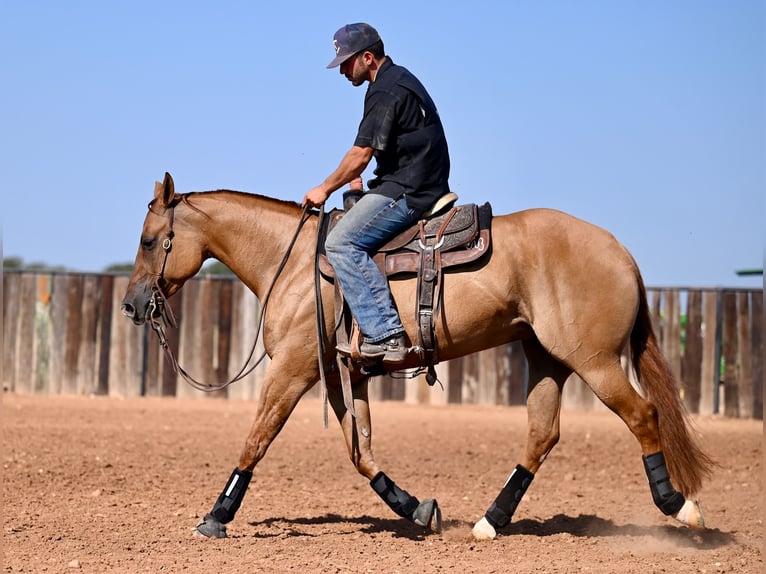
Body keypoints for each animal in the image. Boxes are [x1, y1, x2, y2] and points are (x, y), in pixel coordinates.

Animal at [120, 173, 712, 544]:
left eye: (150, 240)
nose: (130, 304)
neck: (292, 264)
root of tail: (621, 251)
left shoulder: (292, 368)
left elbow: (257, 438)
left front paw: (215, 516)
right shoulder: (340, 372)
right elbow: (359, 451)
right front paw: (417, 509)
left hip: (594, 360)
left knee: (642, 415)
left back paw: (679, 506)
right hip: (546, 358)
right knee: (543, 434)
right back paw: (490, 522)